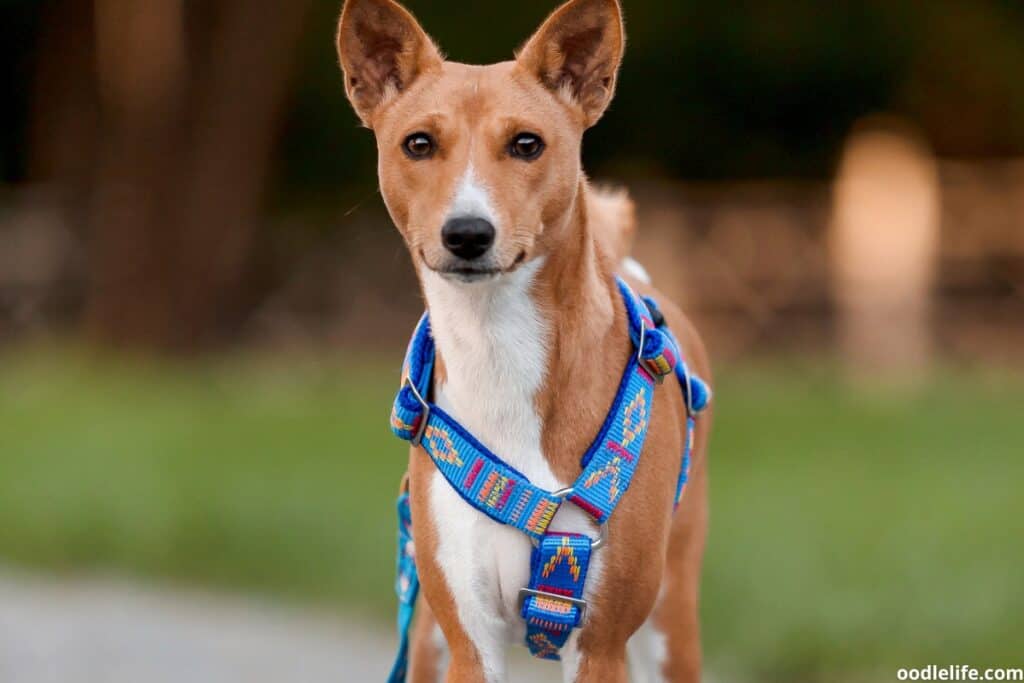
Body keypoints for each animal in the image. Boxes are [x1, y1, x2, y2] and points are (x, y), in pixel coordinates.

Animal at [335, 0, 712, 679]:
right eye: (419, 143)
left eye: (526, 144)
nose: (467, 232)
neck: (497, 354)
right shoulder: (469, 640)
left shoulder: (601, 645)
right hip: (425, 633)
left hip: (673, 621)